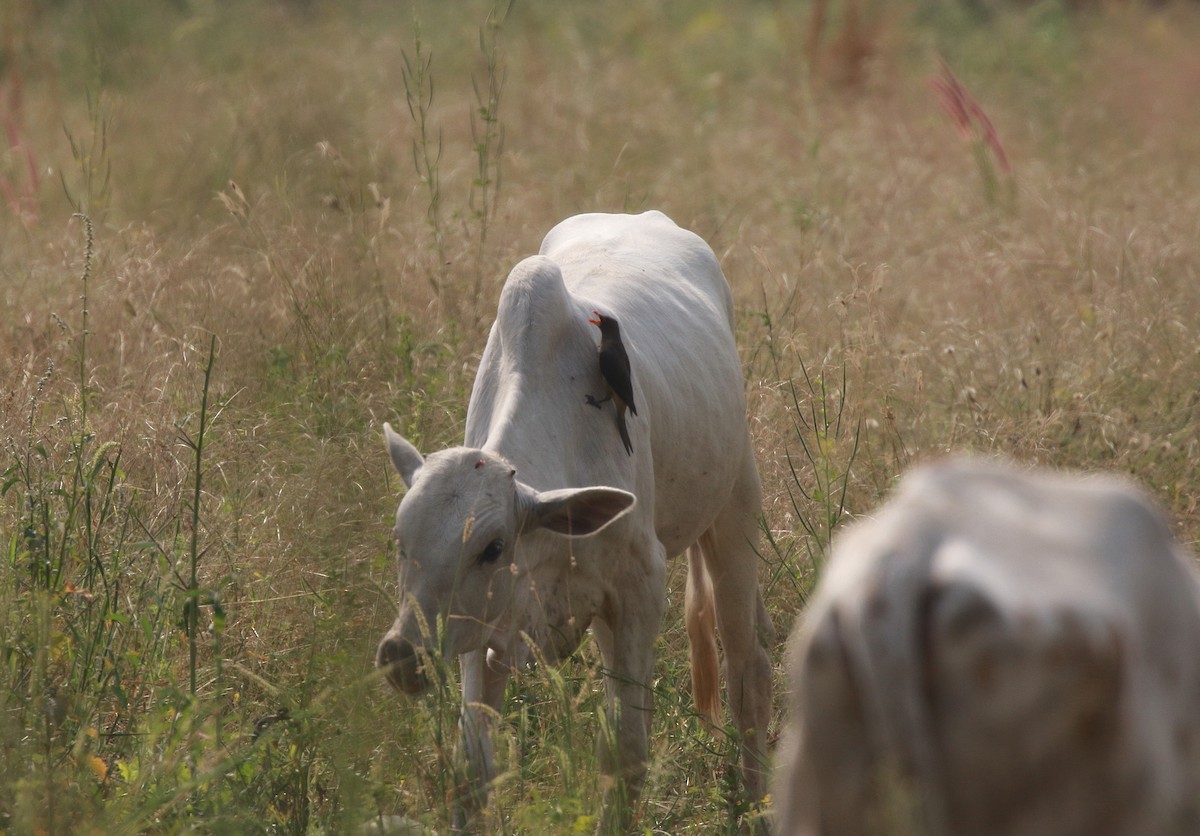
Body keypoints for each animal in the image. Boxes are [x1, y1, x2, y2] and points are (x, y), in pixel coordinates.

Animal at [376, 209, 777, 830]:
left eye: (492, 548)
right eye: (400, 540)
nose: (402, 655)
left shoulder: (638, 592)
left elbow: (626, 754)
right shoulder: (483, 628)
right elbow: (473, 767)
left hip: (734, 508)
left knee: (746, 672)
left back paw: (756, 807)